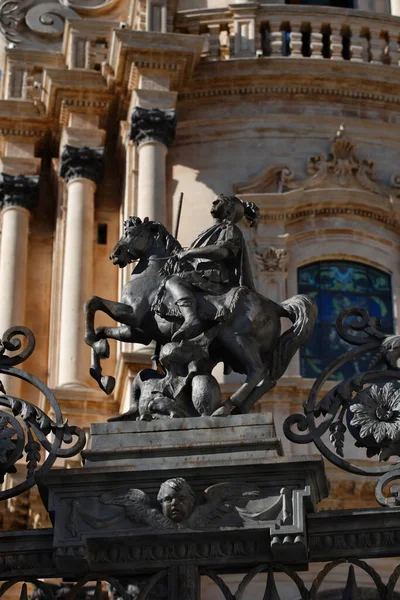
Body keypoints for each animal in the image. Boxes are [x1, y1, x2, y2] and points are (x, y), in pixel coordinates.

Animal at [85, 217, 318, 418]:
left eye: (130, 233)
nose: (115, 254)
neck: (151, 274)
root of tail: (276, 306)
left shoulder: (133, 314)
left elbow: (92, 303)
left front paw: (95, 348)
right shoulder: (136, 332)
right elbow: (101, 329)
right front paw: (101, 371)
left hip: (236, 339)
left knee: (257, 372)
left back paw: (224, 408)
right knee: (268, 380)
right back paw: (238, 409)